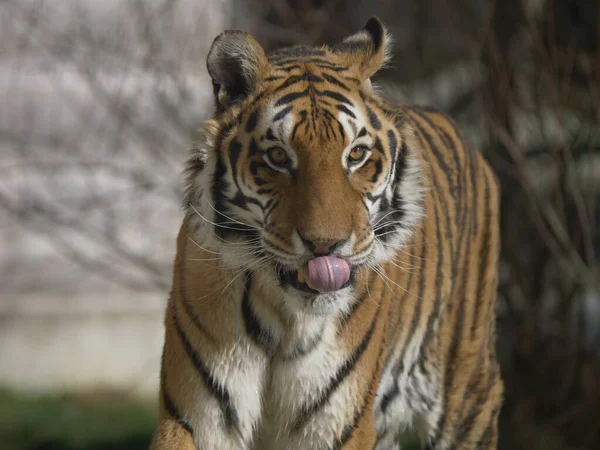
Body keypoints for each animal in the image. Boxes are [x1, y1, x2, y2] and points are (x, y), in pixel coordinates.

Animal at [150, 15, 502, 448]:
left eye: (356, 154)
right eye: (278, 156)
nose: (326, 245)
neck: (283, 319)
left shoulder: (336, 424)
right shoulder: (199, 420)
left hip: (467, 389)